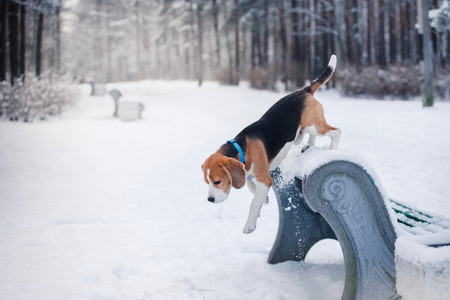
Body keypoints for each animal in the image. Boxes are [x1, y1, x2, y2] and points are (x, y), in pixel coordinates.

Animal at [202, 55, 340, 234]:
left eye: (217, 182)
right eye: (207, 182)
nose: (210, 199)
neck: (241, 147)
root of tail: (304, 90)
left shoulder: (265, 179)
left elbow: (254, 203)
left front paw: (250, 225)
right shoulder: (251, 175)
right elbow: (251, 187)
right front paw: (265, 199)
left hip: (315, 125)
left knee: (336, 131)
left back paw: (333, 147)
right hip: (306, 129)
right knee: (311, 136)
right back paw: (308, 145)